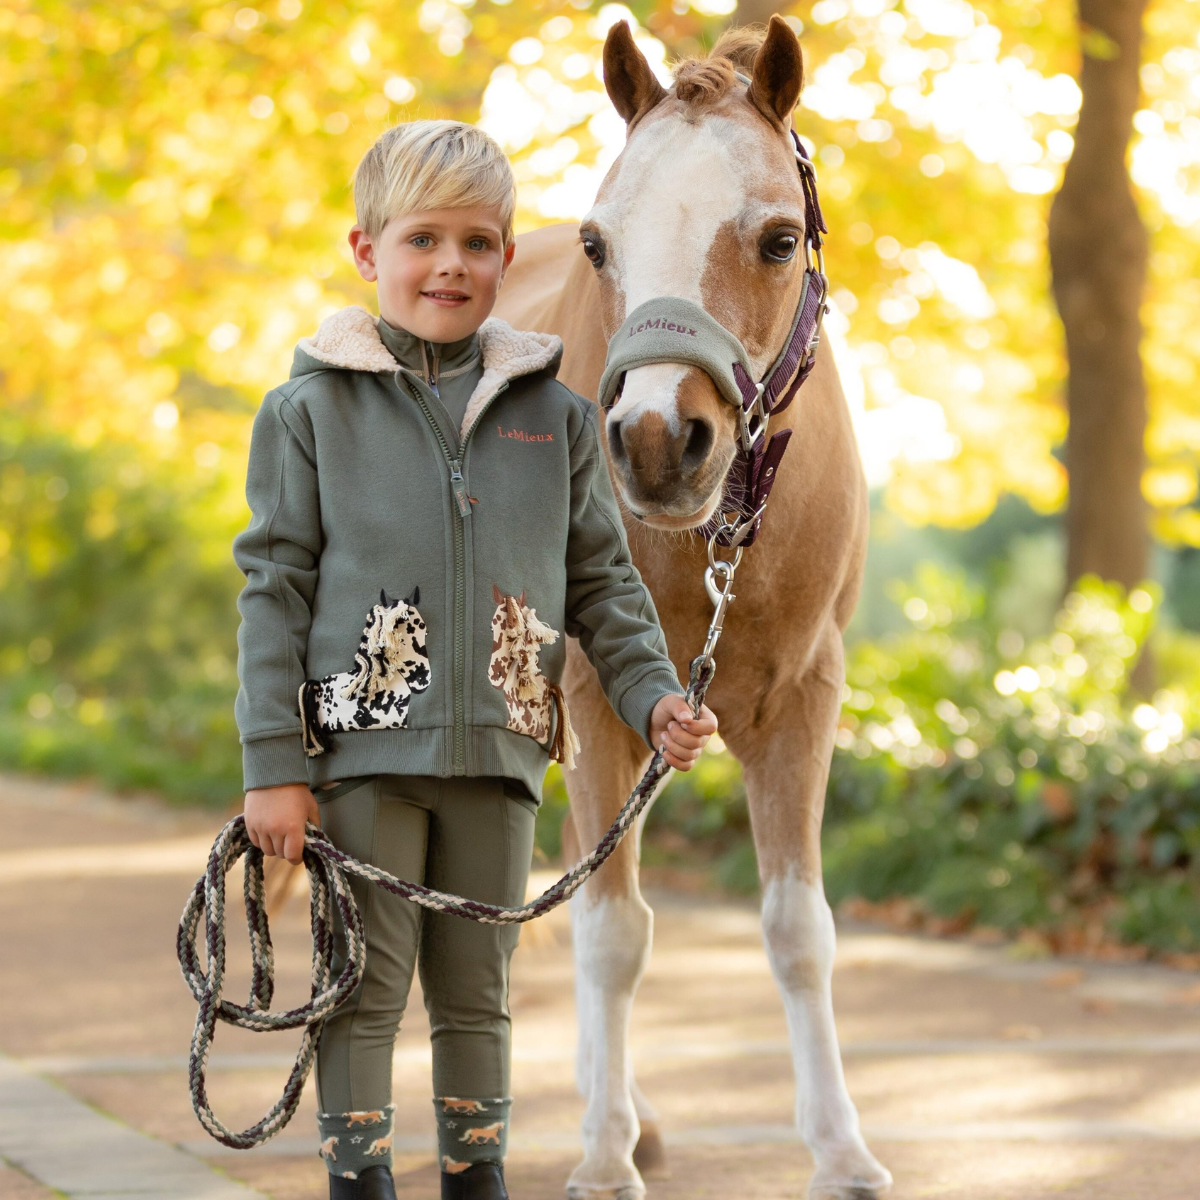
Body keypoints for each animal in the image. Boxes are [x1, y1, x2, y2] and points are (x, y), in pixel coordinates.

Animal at [493, 18, 892, 1200]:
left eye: (776, 239)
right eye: (597, 245)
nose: (658, 441)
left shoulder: (804, 699)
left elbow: (799, 928)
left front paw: (841, 1149)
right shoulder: (590, 698)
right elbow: (612, 933)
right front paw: (600, 1159)